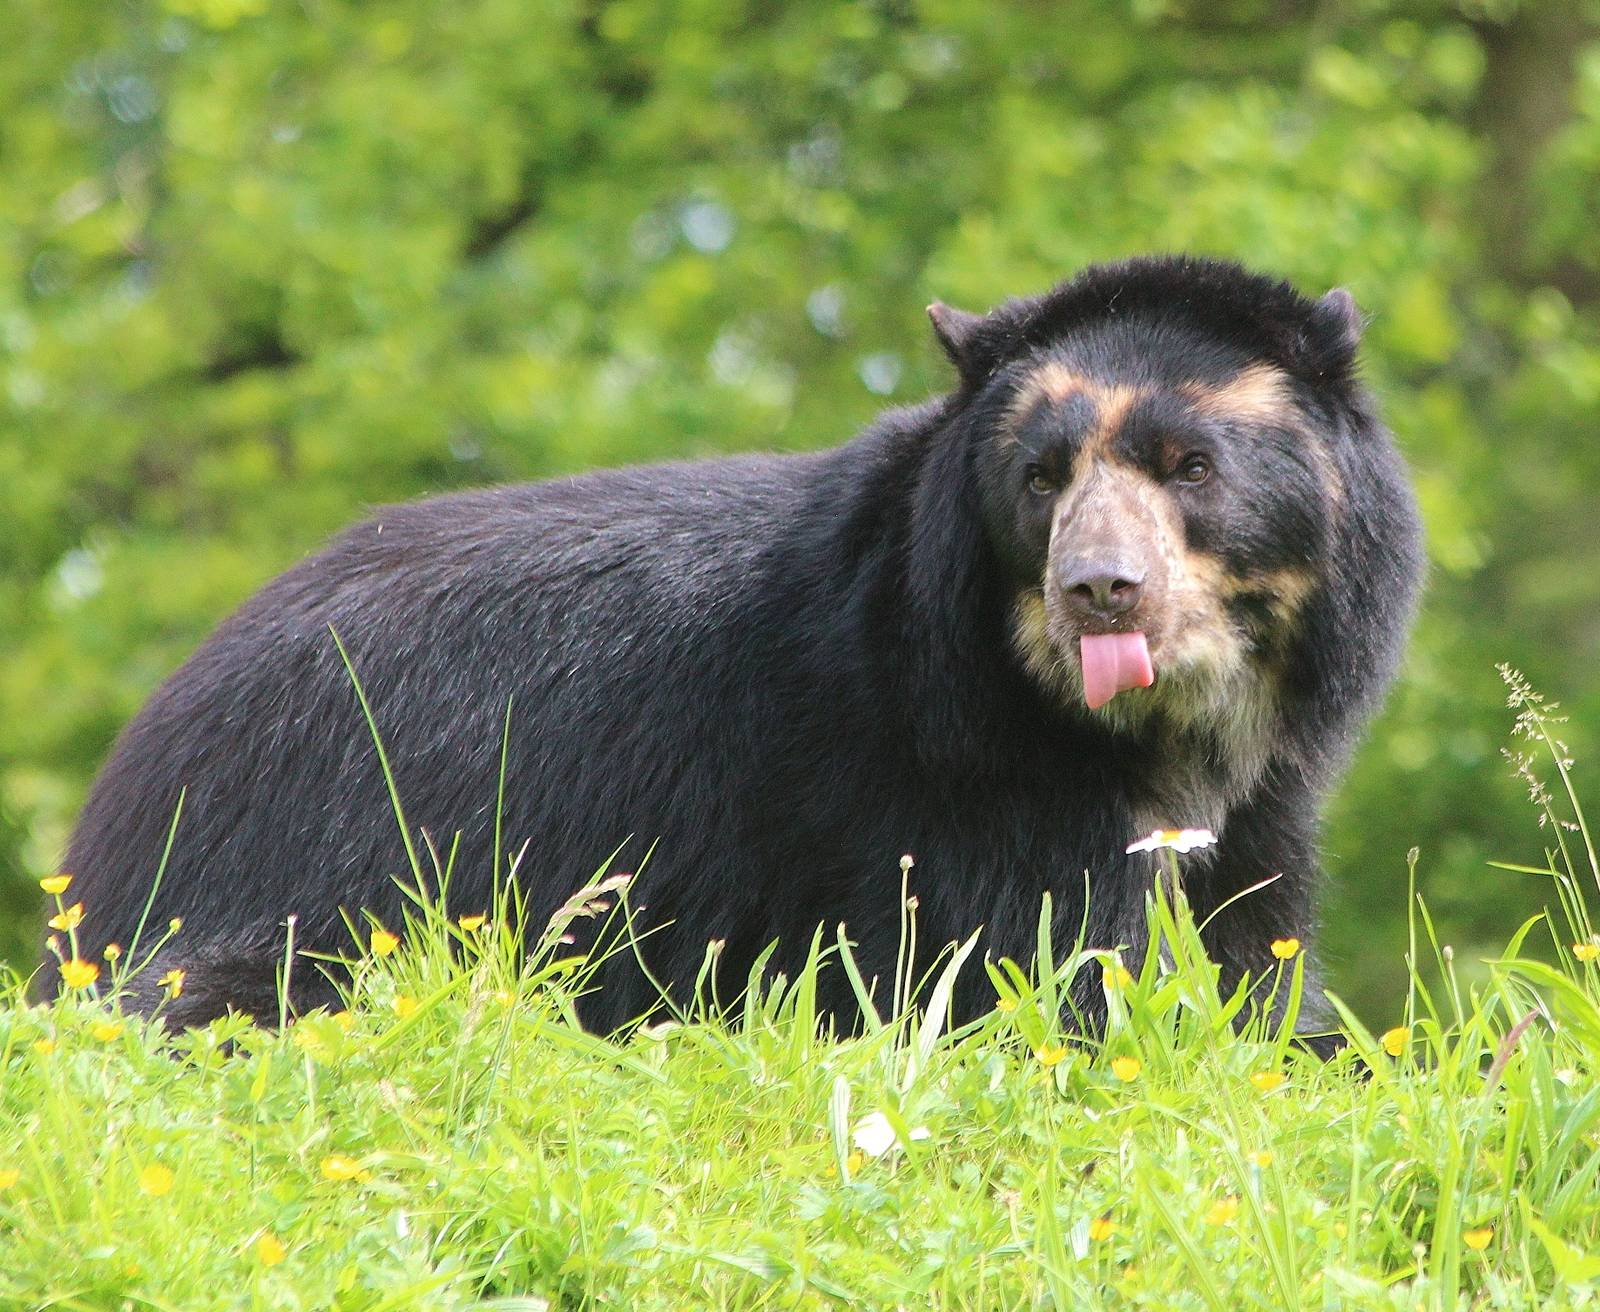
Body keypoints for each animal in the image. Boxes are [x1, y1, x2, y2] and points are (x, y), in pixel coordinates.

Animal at [50, 255, 1423, 1046]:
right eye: (1040, 478)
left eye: (1190, 466)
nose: (1100, 591)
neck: (1158, 727)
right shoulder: (951, 776)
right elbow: (1016, 975)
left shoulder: (1268, 790)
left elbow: (1255, 945)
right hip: (309, 867)